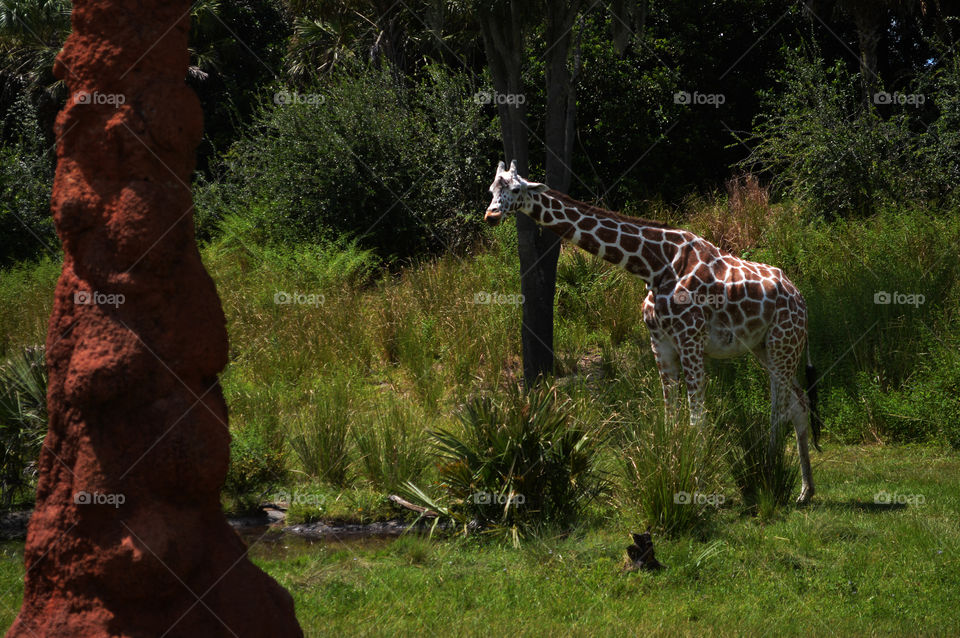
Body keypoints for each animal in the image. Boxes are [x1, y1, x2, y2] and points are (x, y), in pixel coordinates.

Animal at [484, 160, 820, 504]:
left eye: (516, 189)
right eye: (491, 190)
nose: (491, 215)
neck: (652, 265)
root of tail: (801, 300)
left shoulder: (690, 338)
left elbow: (697, 418)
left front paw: (697, 483)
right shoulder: (660, 341)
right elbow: (670, 416)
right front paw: (672, 475)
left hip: (781, 343)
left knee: (780, 407)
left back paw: (770, 474)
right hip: (765, 347)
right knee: (798, 403)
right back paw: (804, 491)